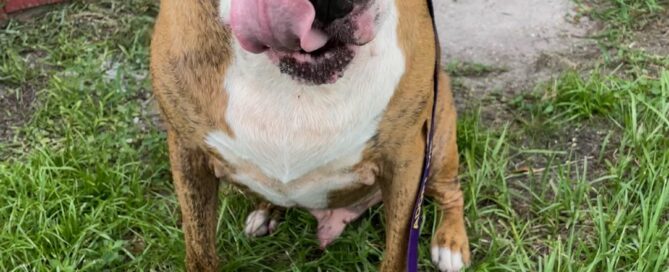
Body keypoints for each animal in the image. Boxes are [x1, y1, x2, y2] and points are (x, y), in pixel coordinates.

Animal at [150, 0, 470, 270]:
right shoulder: (187, 153)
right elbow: (199, 249)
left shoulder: (405, 161)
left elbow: (397, 252)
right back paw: (266, 212)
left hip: (438, 140)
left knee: (451, 192)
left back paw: (451, 245)